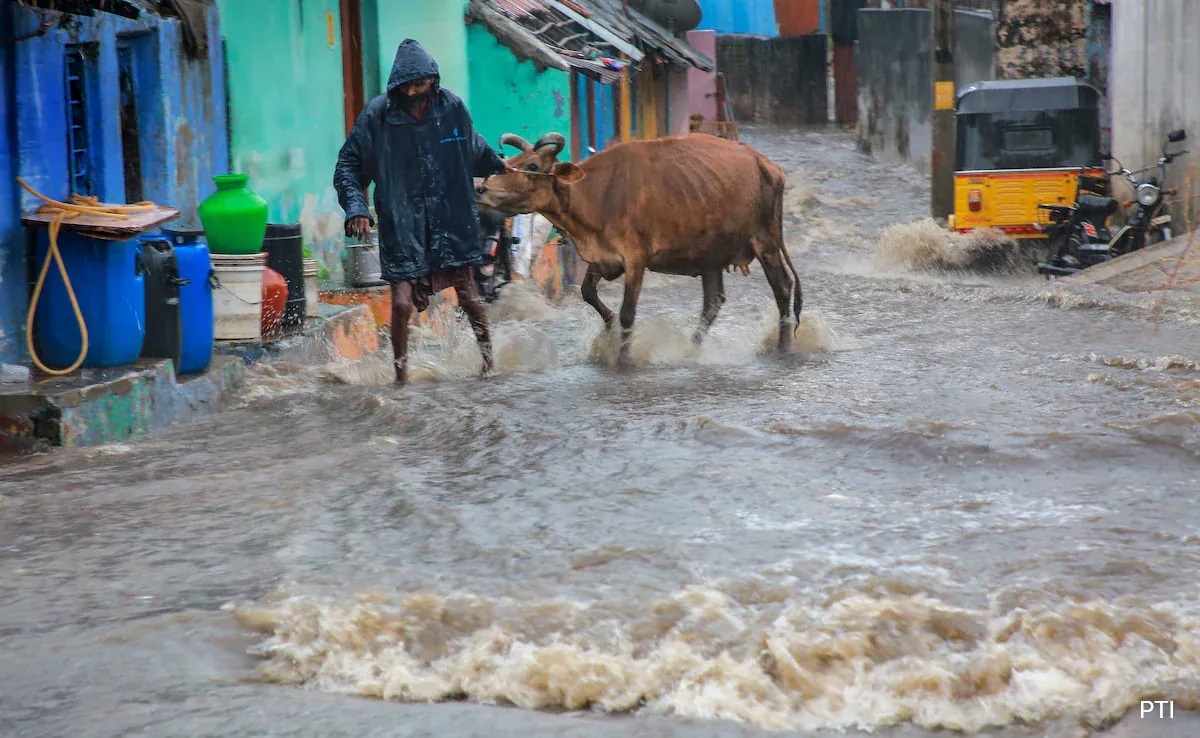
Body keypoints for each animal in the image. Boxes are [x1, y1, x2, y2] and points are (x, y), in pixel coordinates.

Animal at [472, 132, 801, 367]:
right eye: (513, 160)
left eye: (532, 166)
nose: (481, 189)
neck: (595, 193)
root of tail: (767, 165)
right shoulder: (604, 258)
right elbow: (588, 294)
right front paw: (608, 332)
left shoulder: (636, 260)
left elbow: (628, 313)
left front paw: (623, 357)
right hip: (711, 257)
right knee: (712, 303)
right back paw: (690, 350)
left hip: (766, 241)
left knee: (782, 288)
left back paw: (783, 347)